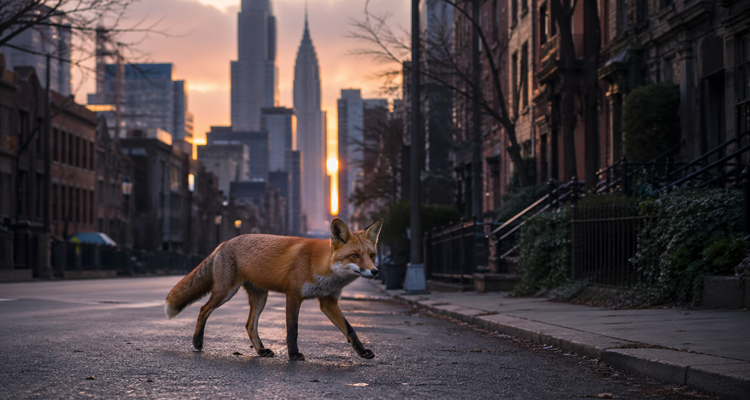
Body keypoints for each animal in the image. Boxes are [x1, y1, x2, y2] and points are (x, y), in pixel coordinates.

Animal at [164, 218, 383, 361]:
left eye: (372, 255)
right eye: (355, 256)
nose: (375, 271)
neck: (321, 267)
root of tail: (224, 242)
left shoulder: (328, 301)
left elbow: (350, 329)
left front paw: (363, 352)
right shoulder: (293, 295)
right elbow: (292, 330)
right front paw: (293, 354)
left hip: (260, 298)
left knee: (249, 325)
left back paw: (261, 351)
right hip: (225, 292)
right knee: (203, 309)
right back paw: (198, 342)